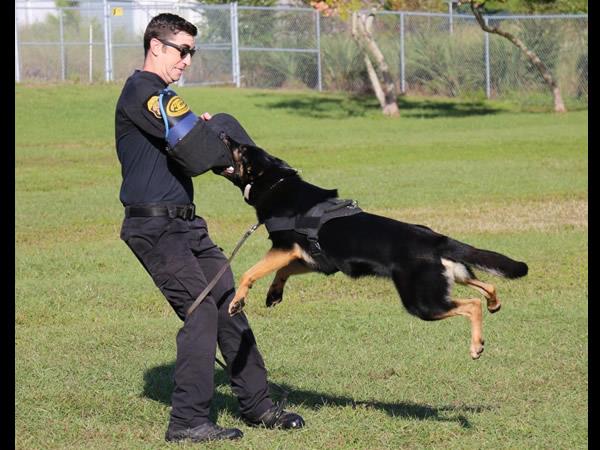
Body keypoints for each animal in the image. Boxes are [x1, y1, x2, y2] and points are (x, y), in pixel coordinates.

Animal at [218, 143, 528, 358]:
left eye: (241, 150)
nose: (223, 134)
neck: (276, 183)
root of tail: (436, 239)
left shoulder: (285, 248)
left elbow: (249, 272)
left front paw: (237, 300)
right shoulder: (312, 259)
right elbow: (282, 271)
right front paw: (274, 293)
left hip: (422, 302)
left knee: (472, 304)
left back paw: (476, 344)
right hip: (453, 277)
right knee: (487, 286)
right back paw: (493, 304)